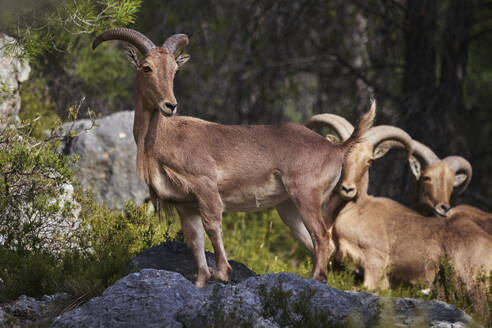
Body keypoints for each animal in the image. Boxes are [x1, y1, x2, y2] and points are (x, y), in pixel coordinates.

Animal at [93, 28, 376, 288]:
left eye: (175, 70)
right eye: (147, 68)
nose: (170, 105)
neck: (162, 139)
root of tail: (336, 149)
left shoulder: (206, 186)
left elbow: (212, 225)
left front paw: (222, 273)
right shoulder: (186, 205)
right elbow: (194, 240)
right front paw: (201, 280)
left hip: (305, 194)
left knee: (322, 236)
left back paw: (315, 279)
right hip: (288, 207)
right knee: (316, 242)